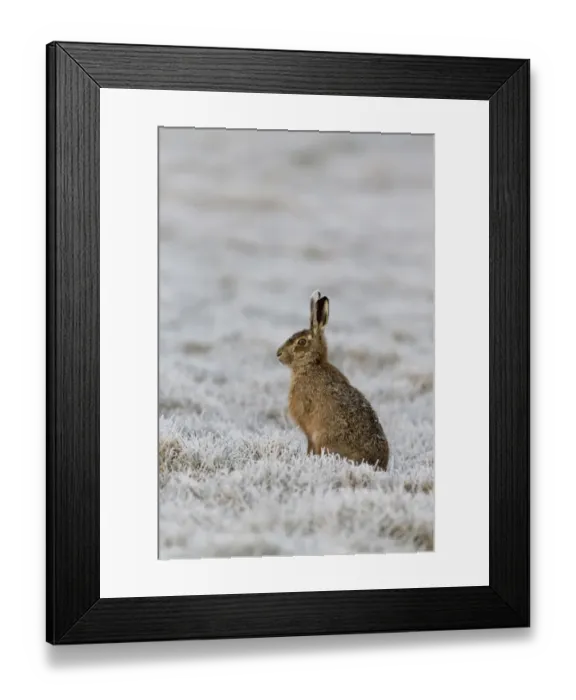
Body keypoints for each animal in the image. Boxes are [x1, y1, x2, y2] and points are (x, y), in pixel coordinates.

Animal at [276, 290, 389, 471]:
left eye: (302, 342)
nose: (278, 354)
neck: (311, 365)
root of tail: (377, 464)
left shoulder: (309, 429)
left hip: (325, 438)